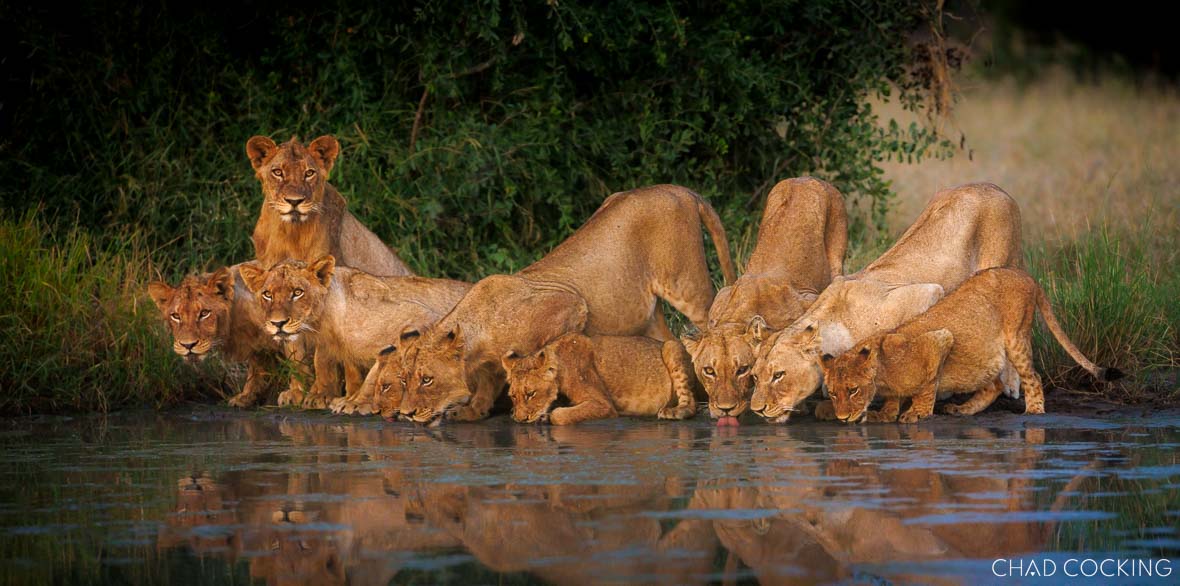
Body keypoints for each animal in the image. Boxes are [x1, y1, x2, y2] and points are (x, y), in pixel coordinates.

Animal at [147, 264, 288, 407]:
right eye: (176, 316)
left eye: (204, 313)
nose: (188, 345)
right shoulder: (257, 345)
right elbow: (256, 369)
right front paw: (246, 397)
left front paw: (291, 397)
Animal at [237, 255, 470, 409]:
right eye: (267, 294)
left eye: (297, 292)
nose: (278, 323)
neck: (324, 322)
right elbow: (336, 366)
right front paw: (331, 396)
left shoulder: (419, 318)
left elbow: (376, 370)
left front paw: (355, 403)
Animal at [500, 333, 698, 425]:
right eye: (513, 396)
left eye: (531, 393)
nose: (519, 420)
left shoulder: (603, 404)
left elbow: (559, 415)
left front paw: (548, 416)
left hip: (671, 346)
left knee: (691, 405)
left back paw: (674, 412)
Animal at [751, 183, 1023, 422]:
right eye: (754, 377)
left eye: (779, 375)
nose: (757, 410)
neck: (837, 320)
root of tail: (994, 187)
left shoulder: (928, 293)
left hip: (999, 266)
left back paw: (1010, 384)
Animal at [822, 268, 1122, 424]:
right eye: (834, 393)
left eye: (853, 390)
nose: (842, 418)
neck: (883, 371)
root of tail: (1025, 275)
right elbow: (894, 397)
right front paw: (885, 413)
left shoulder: (939, 340)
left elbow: (927, 385)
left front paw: (917, 413)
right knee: (994, 385)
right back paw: (962, 409)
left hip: (1016, 337)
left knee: (1033, 377)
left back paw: (1034, 411)